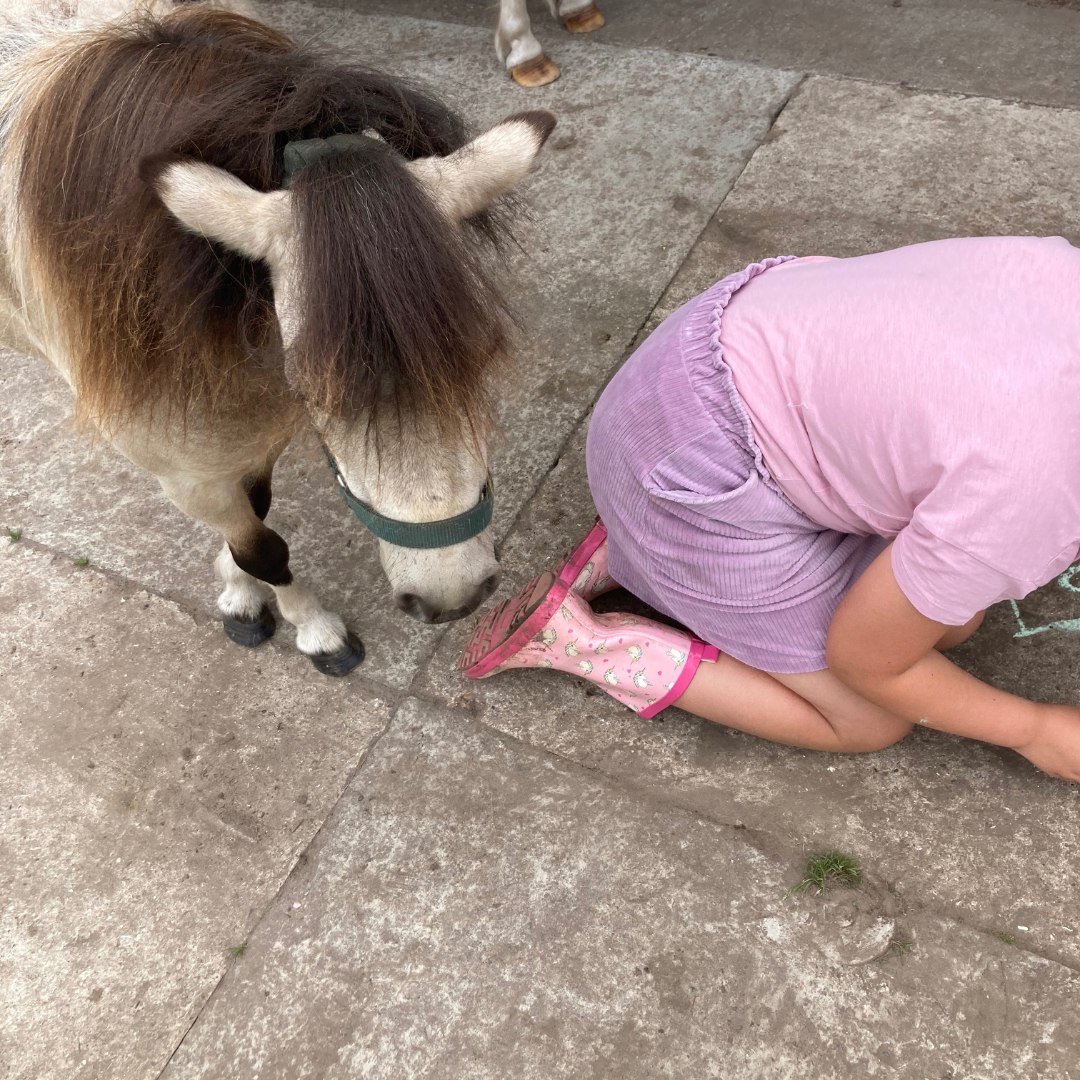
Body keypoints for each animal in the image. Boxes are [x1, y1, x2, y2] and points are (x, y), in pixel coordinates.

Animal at [0, 0, 556, 675]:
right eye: (310, 387)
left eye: (480, 356)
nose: (453, 595)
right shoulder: (184, 475)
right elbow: (262, 549)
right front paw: (308, 625)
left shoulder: (250, 438)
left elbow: (256, 515)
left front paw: (236, 586)